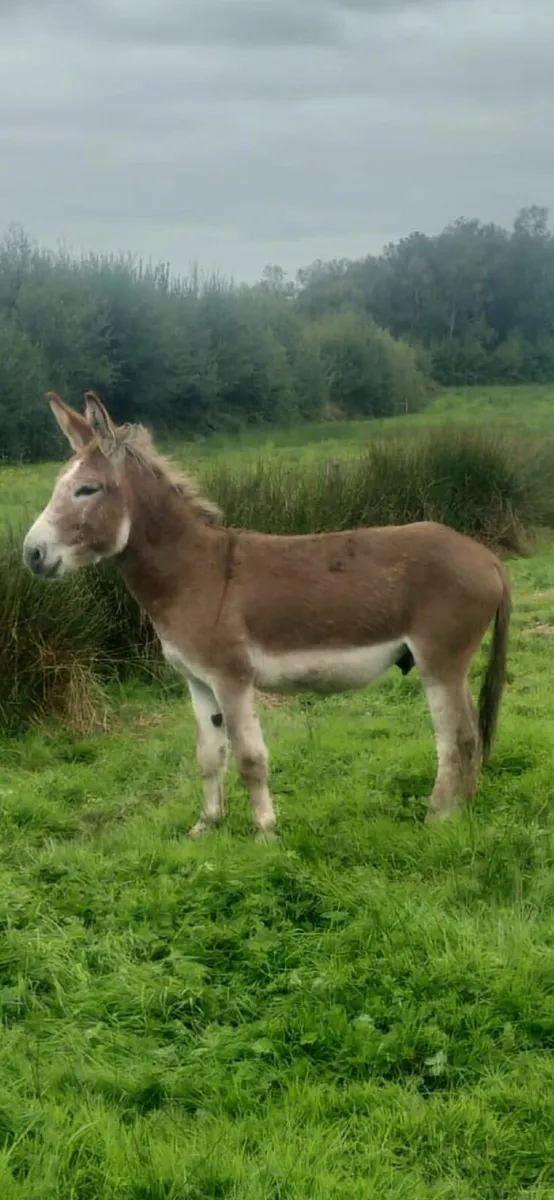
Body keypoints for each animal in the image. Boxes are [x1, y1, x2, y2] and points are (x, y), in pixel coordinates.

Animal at [23, 391, 511, 837]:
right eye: (57, 484)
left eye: (87, 489)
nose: (31, 555)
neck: (194, 573)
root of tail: (487, 557)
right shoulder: (197, 681)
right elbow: (209, 756)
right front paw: (206, 826)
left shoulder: (232, 678)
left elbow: (249, 758)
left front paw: (264, 833)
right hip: (450, 664)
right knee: (471, 732)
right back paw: (465, 807)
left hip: (439, 660)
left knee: (457, 737)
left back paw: (439, 818)